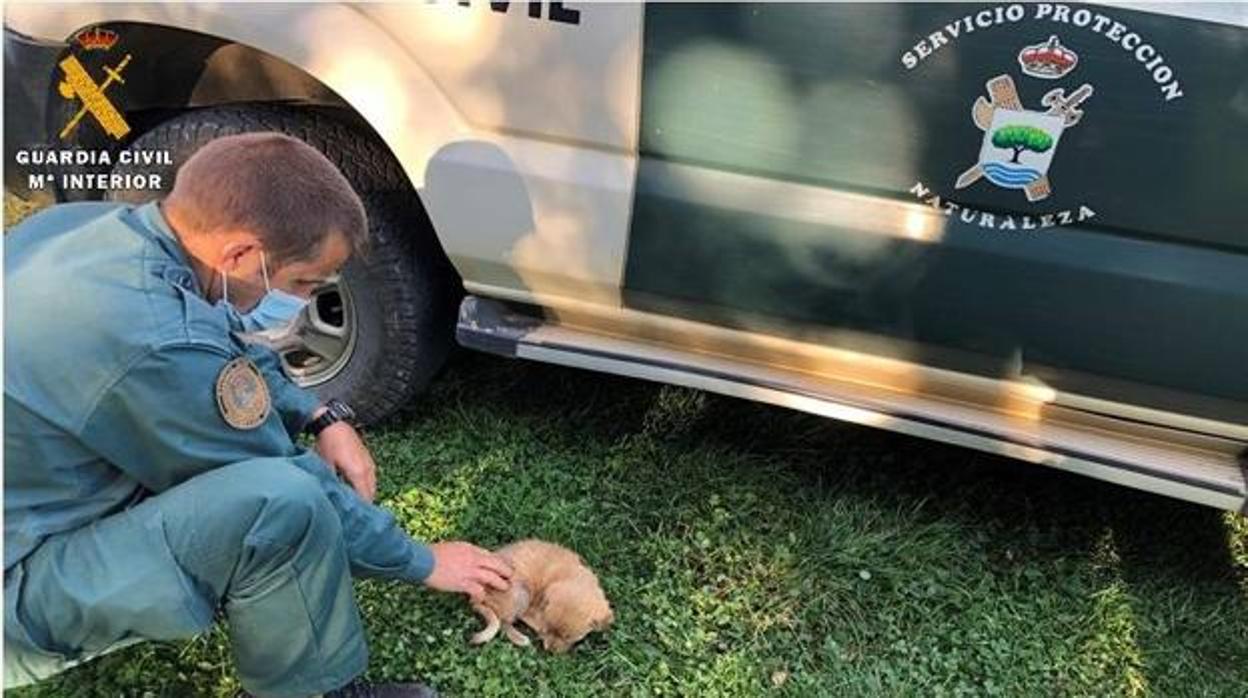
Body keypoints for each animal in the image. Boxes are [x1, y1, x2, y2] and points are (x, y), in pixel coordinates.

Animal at [469, 541, 614, 654]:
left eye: (568, 637)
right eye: (548, 629)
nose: (549, 651)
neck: (571, 577)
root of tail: (475, 598)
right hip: (521, 593)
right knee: (504, 621)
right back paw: (519, 637)